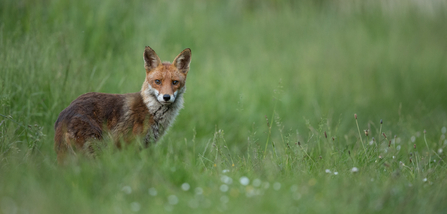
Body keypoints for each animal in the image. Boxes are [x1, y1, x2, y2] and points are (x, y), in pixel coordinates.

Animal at [53, 46, 191, 163]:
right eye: (158, 81)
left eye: (175, 82)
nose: (166, 97)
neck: (150, 111)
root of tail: (64, 115)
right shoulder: (129, 147)